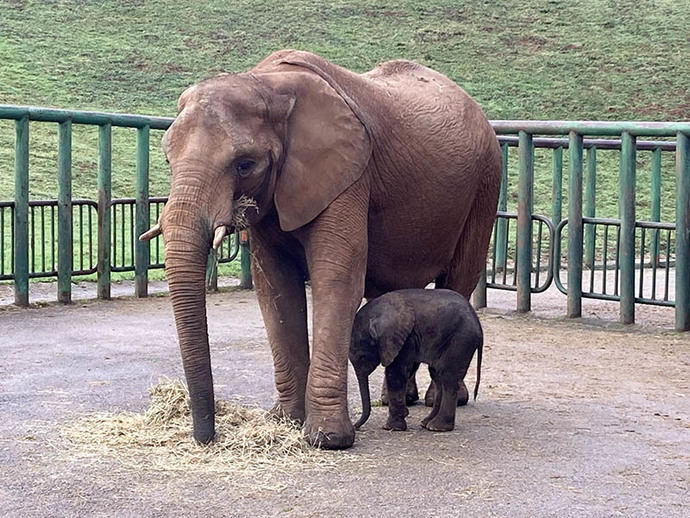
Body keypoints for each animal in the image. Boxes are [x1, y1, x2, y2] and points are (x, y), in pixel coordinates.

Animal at [346, 290, 482, 432]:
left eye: (362, 357)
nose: (355, 426)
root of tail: (477, 322)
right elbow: (407, 370)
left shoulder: (406, 339)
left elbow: (395, 373)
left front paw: (390, 427)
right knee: (437, 376)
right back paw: (426, 423)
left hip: (461, 340)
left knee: (448, 378)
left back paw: (437, 427)